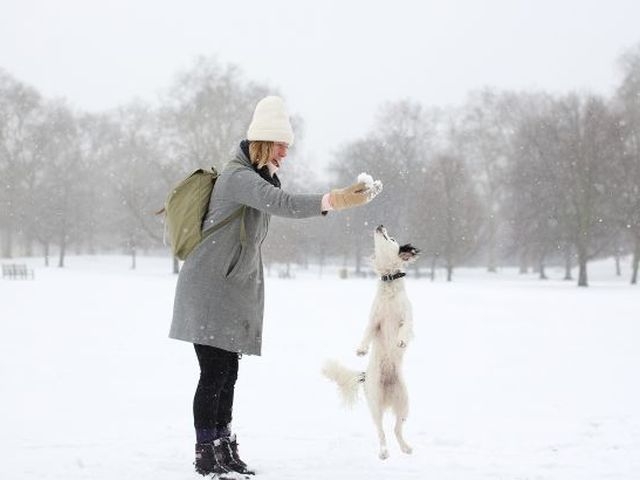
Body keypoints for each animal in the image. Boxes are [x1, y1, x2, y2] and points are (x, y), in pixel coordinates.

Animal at [324, 227, 420, 460]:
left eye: (392, 238)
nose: (380, 225)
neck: (389, 281)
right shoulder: (374, 322)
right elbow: (366, 333)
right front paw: (361, 349)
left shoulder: (408, 317)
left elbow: (405, 328)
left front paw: (401, 340)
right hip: (375, 404)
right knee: (381, 431)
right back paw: (384, 452)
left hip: (404, 403)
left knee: (396, 429)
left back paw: (405, 448)